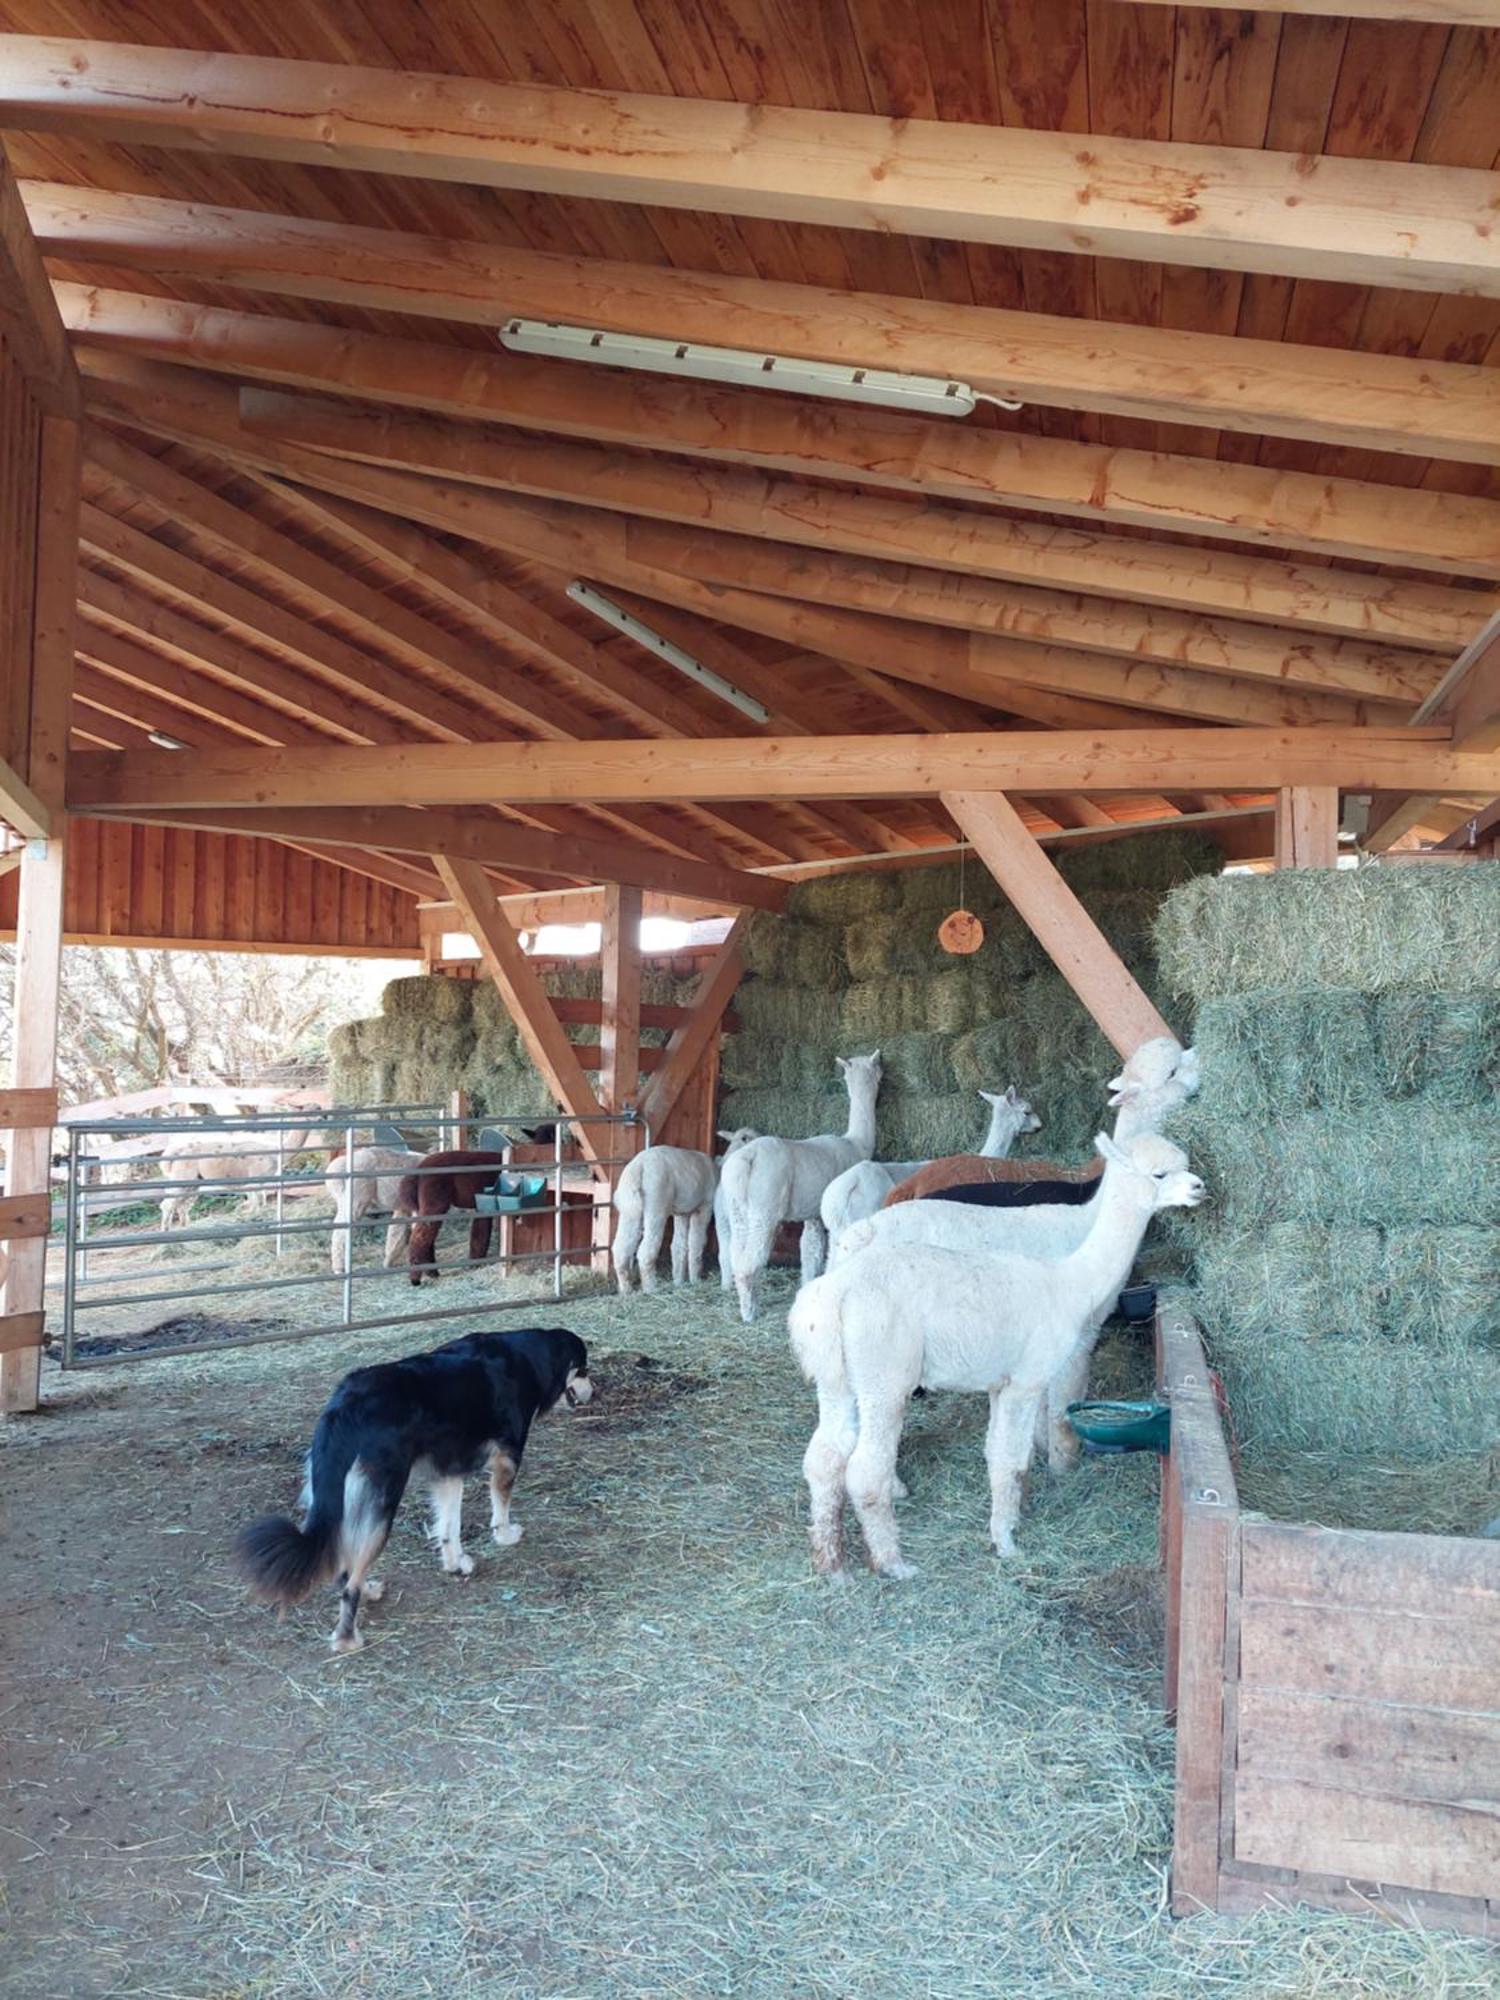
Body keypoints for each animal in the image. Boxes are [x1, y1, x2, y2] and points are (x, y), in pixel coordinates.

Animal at [235, 1328, 592, 1656]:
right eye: (584, 1369)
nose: (595, 1390)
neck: (528, 1356)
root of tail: (345, 1404)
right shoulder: (508, 1456)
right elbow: (499, 1505)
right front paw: (505, 1536)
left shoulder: (448, 1473)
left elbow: (449, 1527)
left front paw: (455, 1563)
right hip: (383, 1502)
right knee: (349, 1583)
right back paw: (348, 1637)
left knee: (341, 1563)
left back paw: (368, 1591)